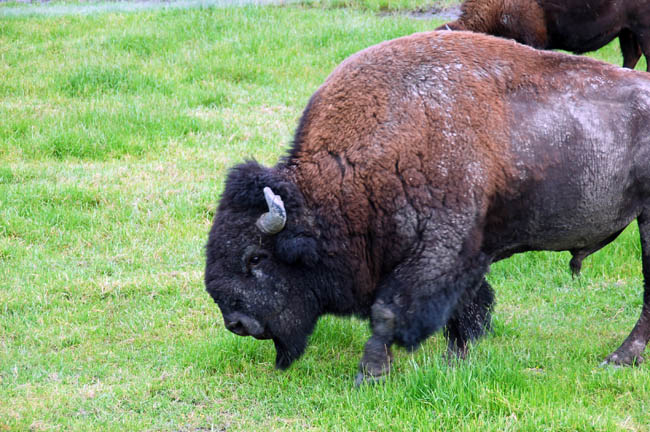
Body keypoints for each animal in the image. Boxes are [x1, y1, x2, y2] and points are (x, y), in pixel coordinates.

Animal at [205, 31, 650, 384]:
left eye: (256, 257)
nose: (237, 323)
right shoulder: (463, 258)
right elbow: (462, 311)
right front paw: (456, 360)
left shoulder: (438, 252)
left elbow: (387, 313)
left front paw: (370, 376)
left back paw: (619, 358)